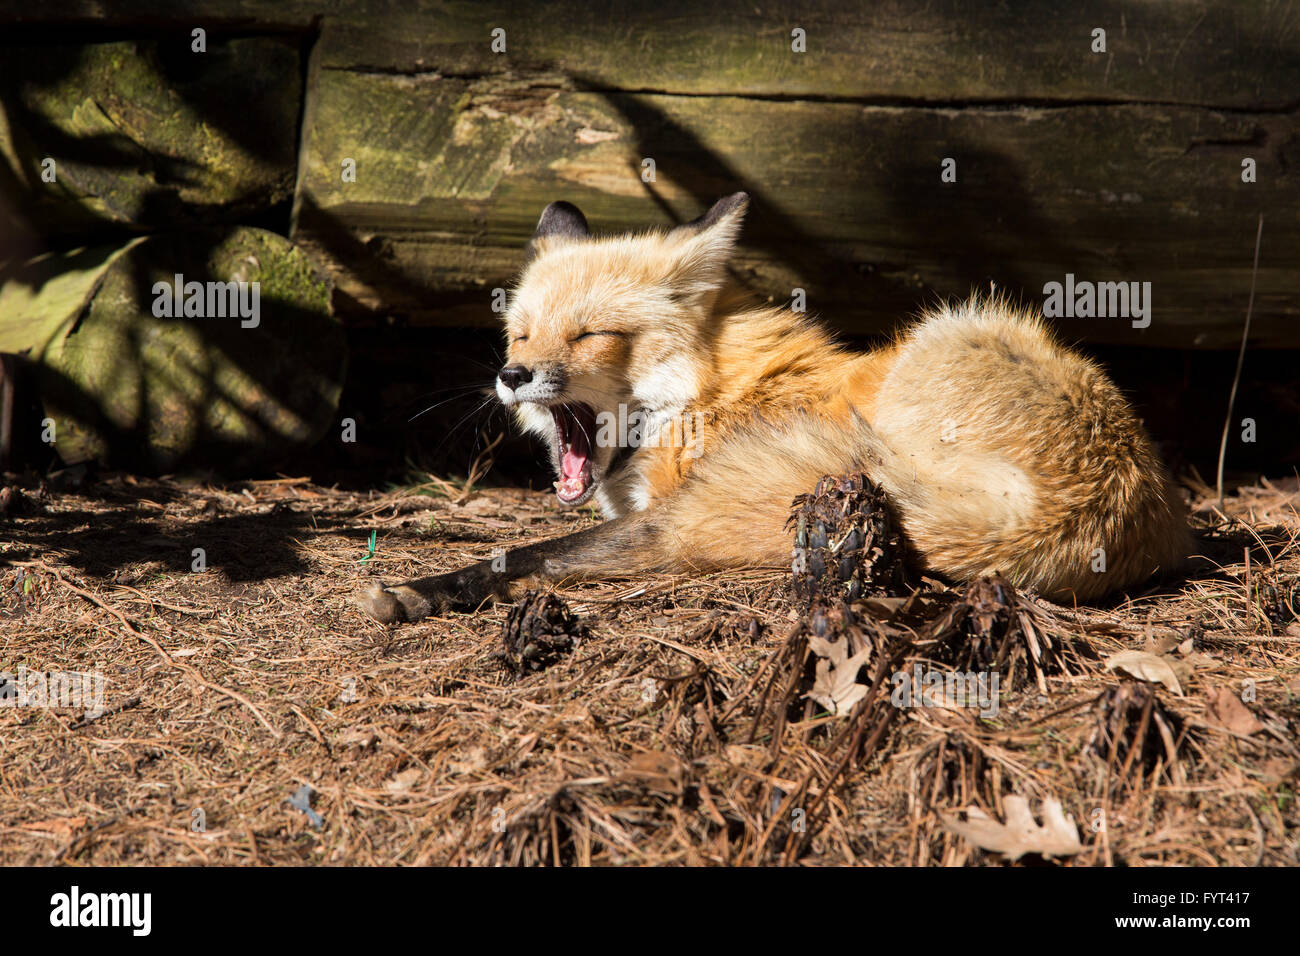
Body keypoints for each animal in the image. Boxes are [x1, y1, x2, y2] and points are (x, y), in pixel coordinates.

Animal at [362, 192, 1191, 623]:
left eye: (591, 334)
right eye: (521, 331)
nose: (513, 374)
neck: (711, 398)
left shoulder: (666, 515)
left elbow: (530, 556)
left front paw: (424, 590)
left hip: (951, 330)